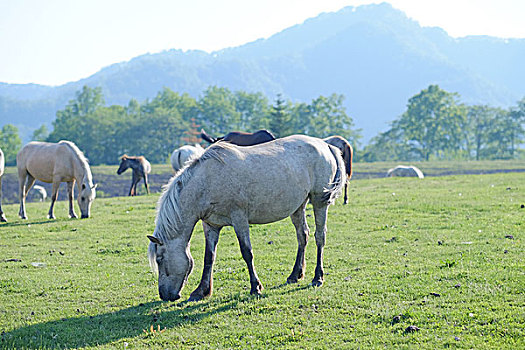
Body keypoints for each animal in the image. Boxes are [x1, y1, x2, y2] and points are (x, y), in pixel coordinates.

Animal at [147, 135, 346, 302]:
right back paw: (294, 275)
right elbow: (209, 257)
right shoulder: (211, 225)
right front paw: (201, 291)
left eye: (159, 259)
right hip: (298, 206)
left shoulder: (239, 220)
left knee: (319, 237)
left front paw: (255, 287)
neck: (207, 181)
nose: (164, 295)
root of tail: (325, 145)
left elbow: (247, 252)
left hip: (319, 202)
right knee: (302, 236)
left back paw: (317, 277)